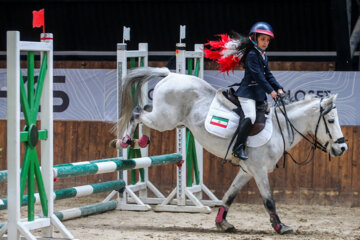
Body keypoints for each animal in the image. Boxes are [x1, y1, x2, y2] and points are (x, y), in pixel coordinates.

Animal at [113, 67, 348, 234]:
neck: (278, 129)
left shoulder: (247, 171)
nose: (343, 148)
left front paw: (222, 223)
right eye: (331, 120)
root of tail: (171, 75)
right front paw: (280, 227)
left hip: (165, 118)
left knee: (144, 111)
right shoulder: (259, 171)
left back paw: (140, 141)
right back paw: (125, 141)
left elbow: (229, 195)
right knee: (137, 112)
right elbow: (269, 200)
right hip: (165, 119)